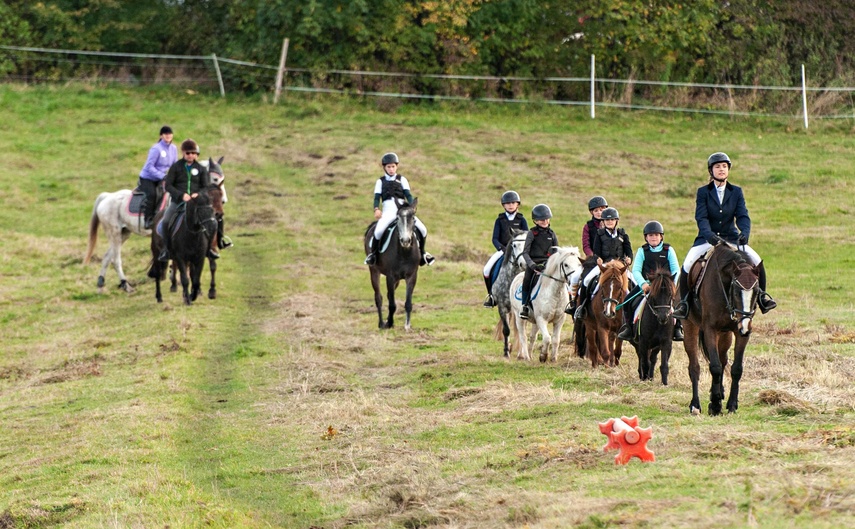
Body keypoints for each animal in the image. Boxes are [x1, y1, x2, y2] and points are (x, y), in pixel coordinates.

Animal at [364, 199, 422, 330]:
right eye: (398, 218)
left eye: (413, 218)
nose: (405, 241)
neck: (404, 252)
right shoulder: (390, 277)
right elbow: (392, 304)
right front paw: (389, 323)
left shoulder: (412, 276)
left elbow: (408, 302)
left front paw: (407, 325)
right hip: (374, 271)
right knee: (379, 297)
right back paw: (381, 323)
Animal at [684, 241, 764, 414]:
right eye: (736, 291)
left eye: (756, 291)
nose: (744, 326)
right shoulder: (710, 330)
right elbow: (714, 367)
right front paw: (714, 405)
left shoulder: (741, 332)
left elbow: (736, 368)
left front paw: (731, 404)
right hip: (690, 327)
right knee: (695, 366)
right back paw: (695, 405)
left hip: (725, 335)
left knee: (723, 360)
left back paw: (719, 393)